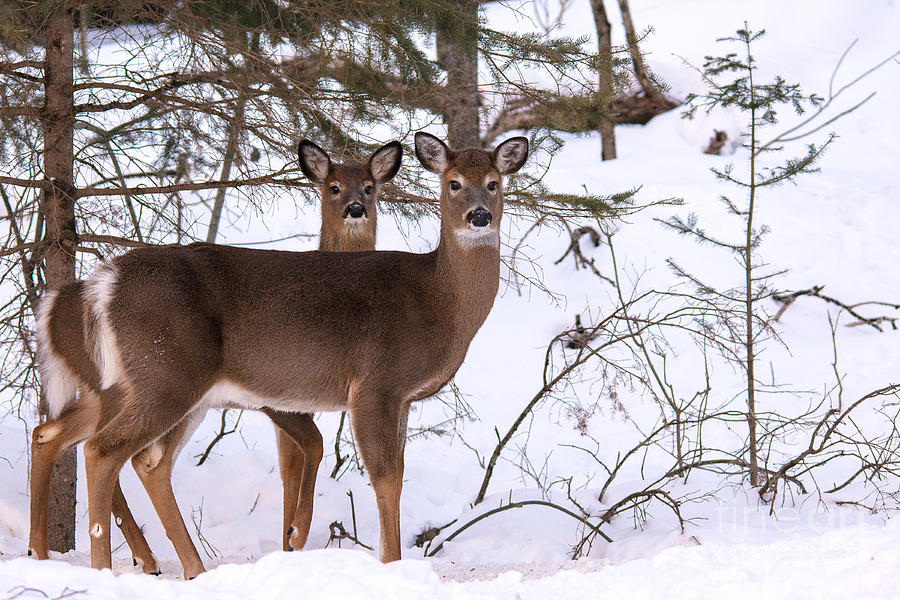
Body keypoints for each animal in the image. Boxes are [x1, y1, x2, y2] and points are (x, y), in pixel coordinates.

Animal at [37, 131, 528, 572]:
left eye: (494, 182)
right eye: (454, 182)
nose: (479, 216)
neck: (436, 301)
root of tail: (106, 281)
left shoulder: (402, 397)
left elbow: (397, 472)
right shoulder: (375, 383)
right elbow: (385, 477)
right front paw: (391, 565)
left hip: (165, 386)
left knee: (131, 456)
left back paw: (184, 568)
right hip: (165, 374)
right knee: (104, 450)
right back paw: (107, 568)